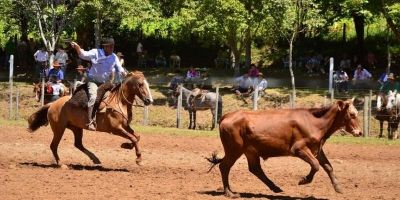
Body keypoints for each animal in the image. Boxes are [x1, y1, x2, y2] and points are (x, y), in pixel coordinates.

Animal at [206, 99, 362, 198]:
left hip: (250, 151)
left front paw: (338, 187)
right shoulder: (298, 148)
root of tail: (227, 116)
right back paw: (229, 193)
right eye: (352, 114)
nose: (360, 132)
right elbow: (316, 165)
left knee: (255, 169)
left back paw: (275, 188)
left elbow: (328, 167)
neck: (315, 122)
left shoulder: (317, 149)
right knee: (224, 167)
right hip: (234, 149)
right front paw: (304, 180)